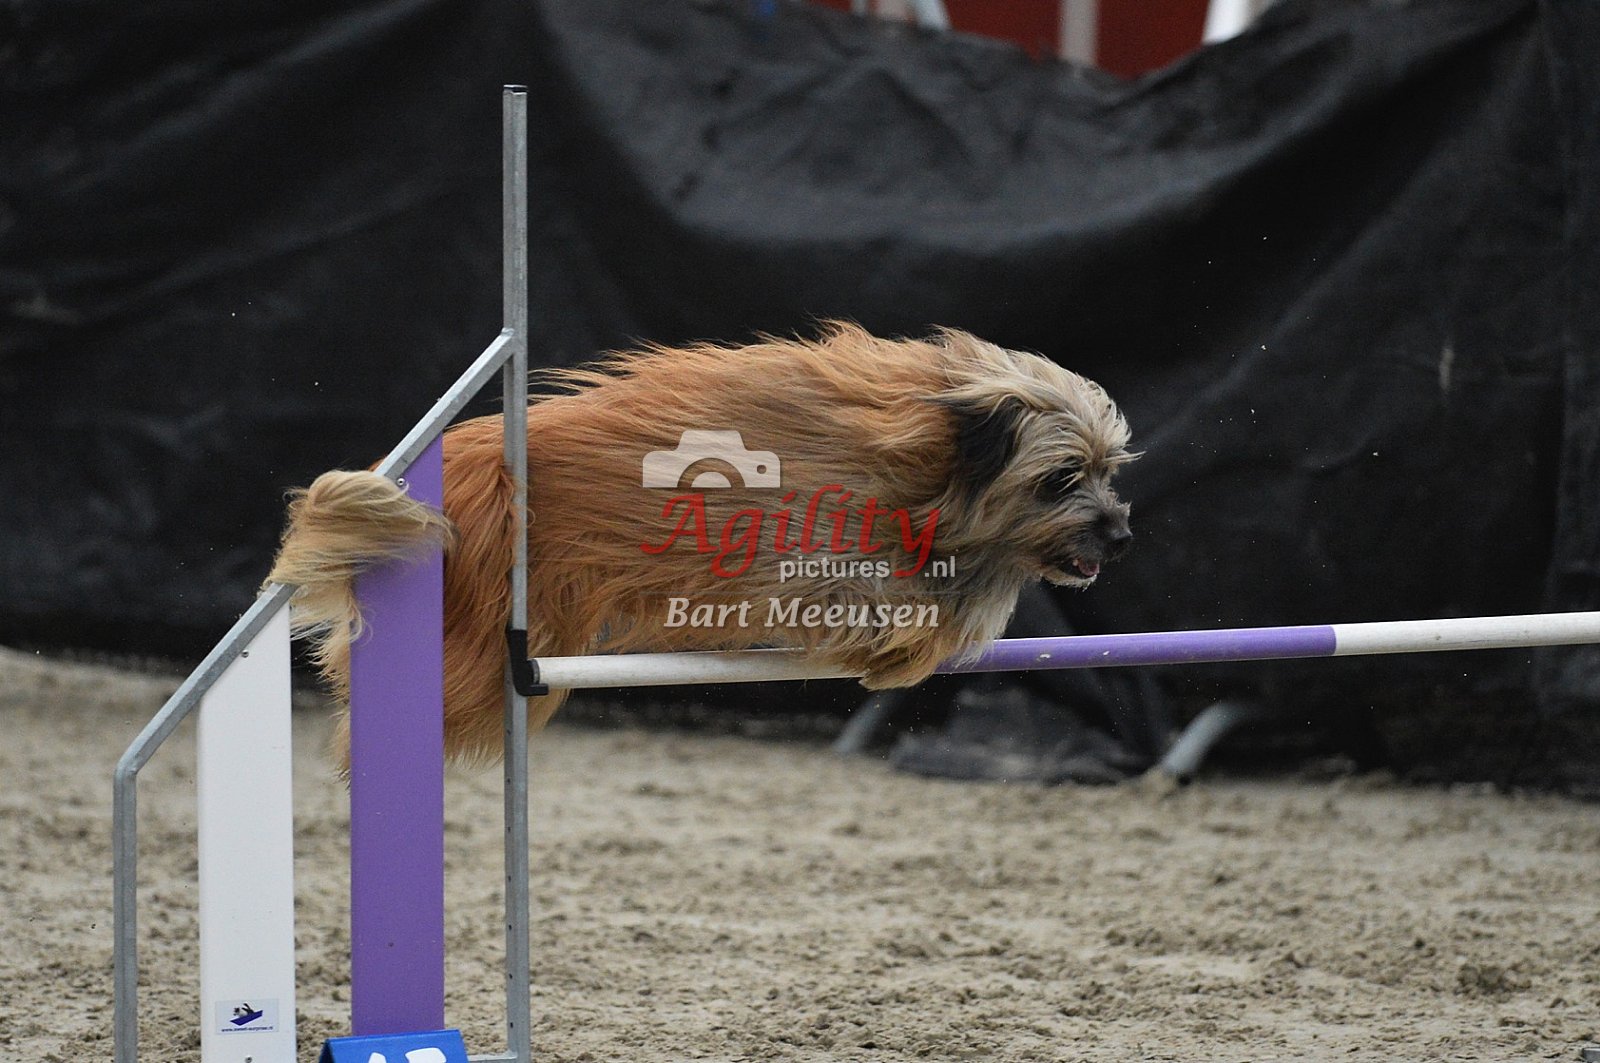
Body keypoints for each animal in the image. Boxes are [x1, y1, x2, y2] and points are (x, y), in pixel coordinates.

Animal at [268, 323, 1136, 764]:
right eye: (1062, 477)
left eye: (1108, 469)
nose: (1122, 533)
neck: (929, 451)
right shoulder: (808, 549)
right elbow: (880, 604)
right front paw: (900, 647)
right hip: (479, 636)